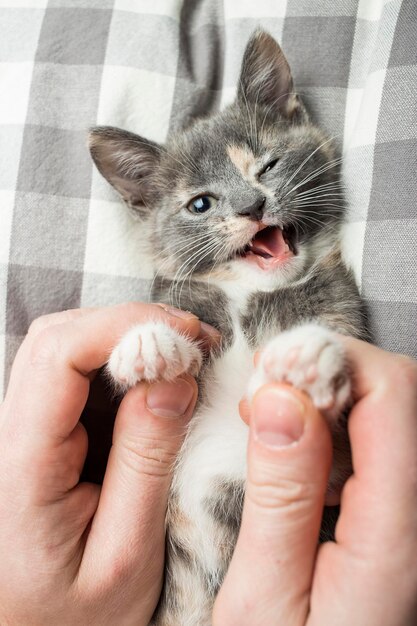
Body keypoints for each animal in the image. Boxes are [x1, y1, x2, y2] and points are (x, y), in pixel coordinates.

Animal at [88, 30, 364, 624]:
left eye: (268, 165)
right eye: (200, 203)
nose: (252, 205)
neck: (247, 298)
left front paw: (307, 356)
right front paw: (149, 342)